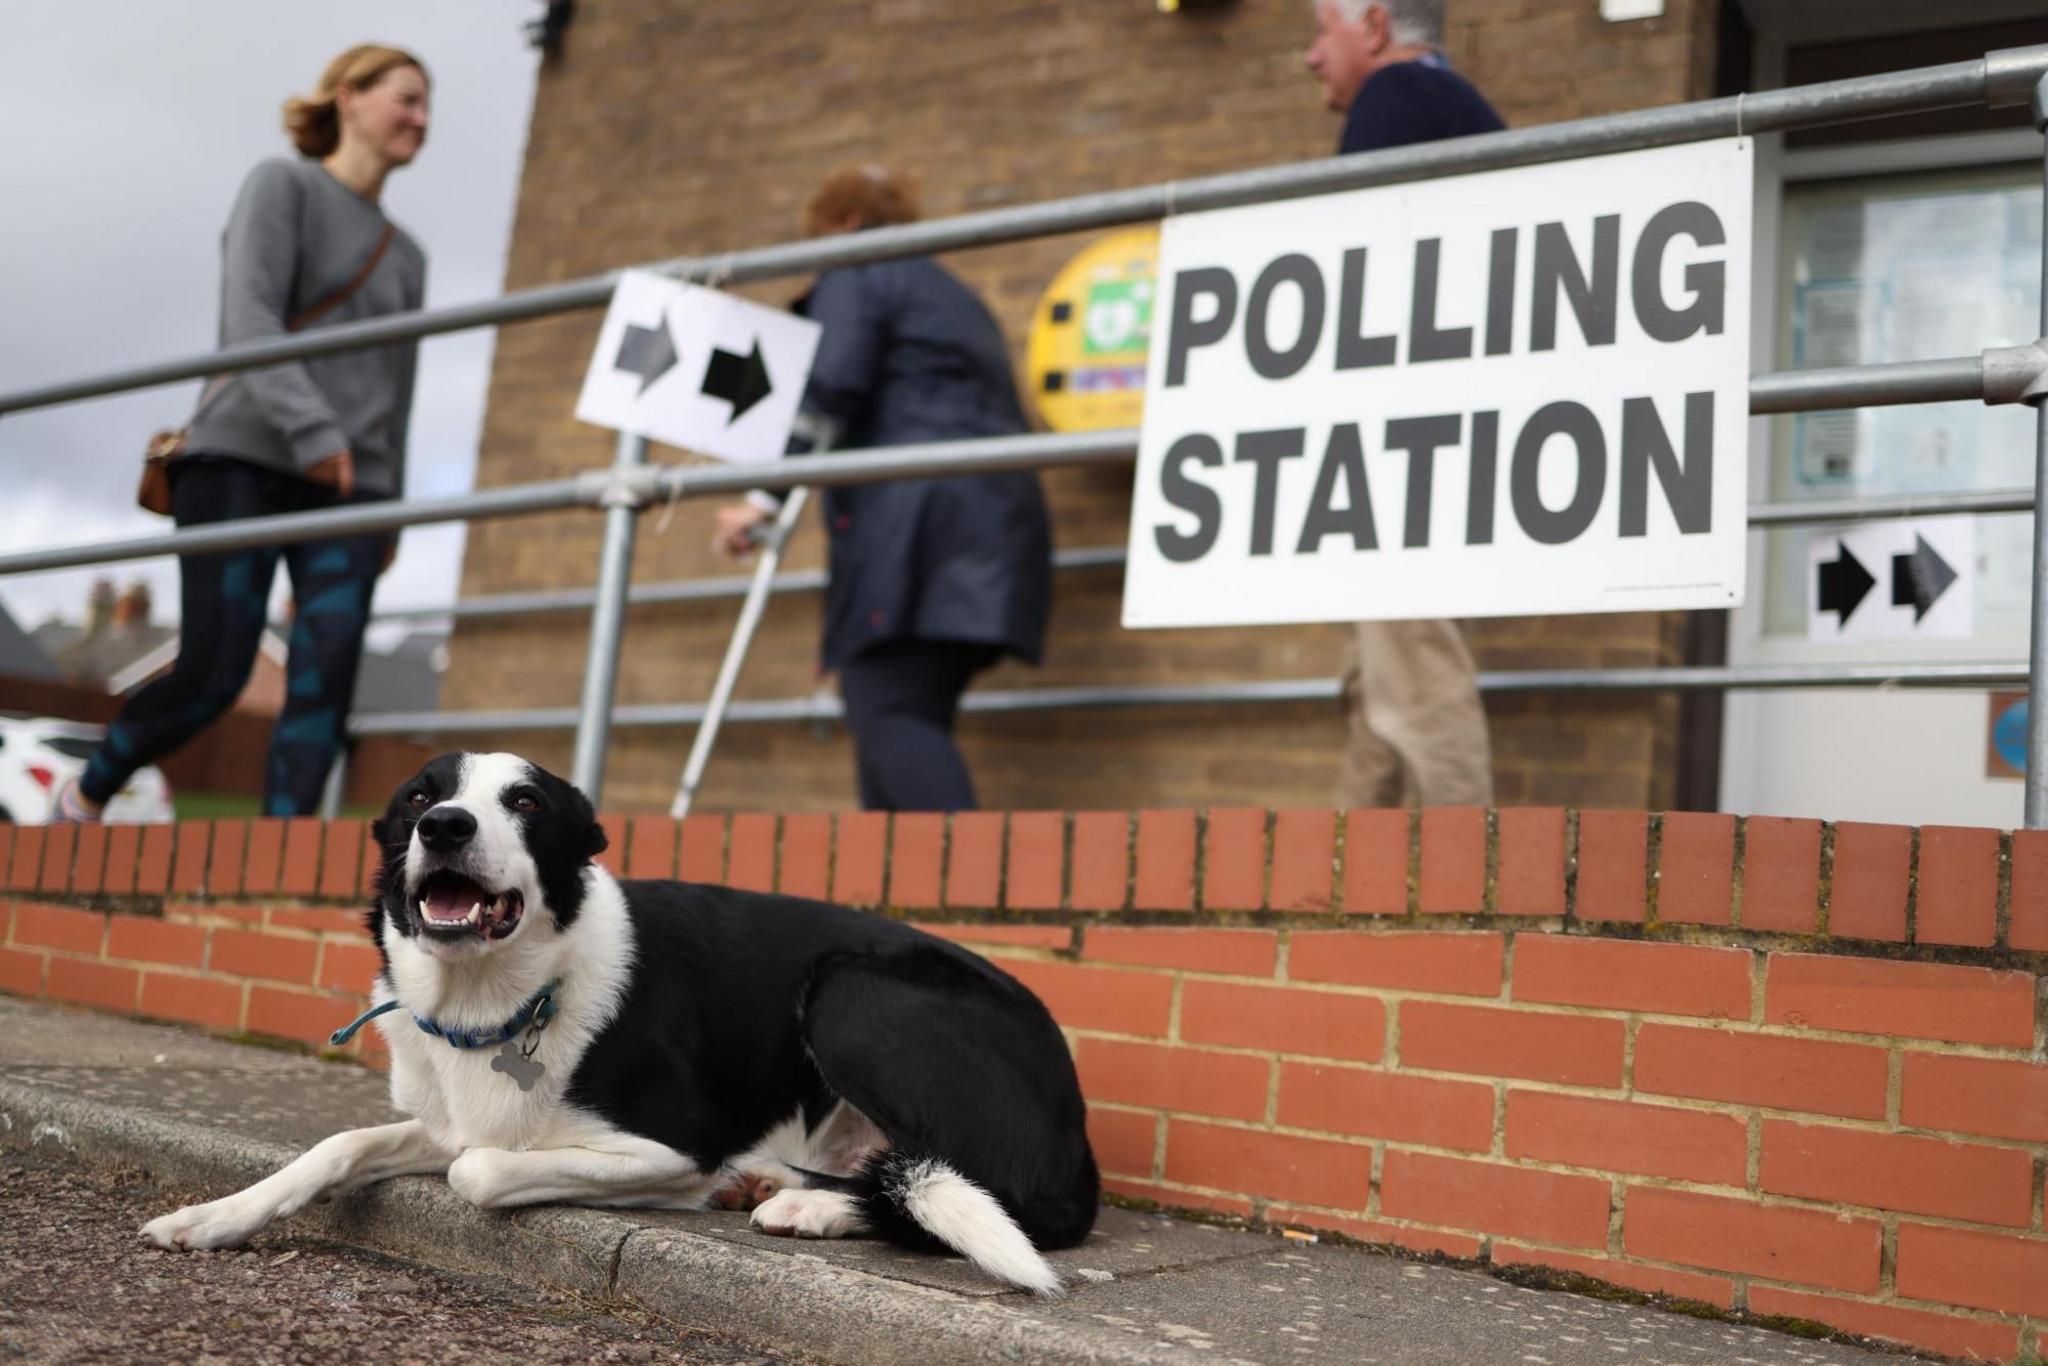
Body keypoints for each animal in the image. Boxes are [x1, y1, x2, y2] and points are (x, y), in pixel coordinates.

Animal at [140, 749, 1105, 1294]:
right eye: (418, 798)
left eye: (526, 803)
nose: (445, 826)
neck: (500, 996)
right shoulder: (449, 1117)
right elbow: (339, 1146)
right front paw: (215, 1216)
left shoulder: (675, 1144)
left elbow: (477, 1172)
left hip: (851, 991)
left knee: (998, 1193)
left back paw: (805, 1204)